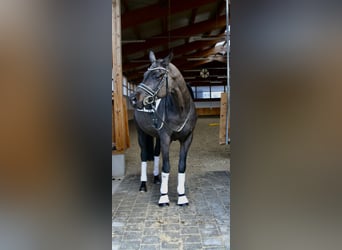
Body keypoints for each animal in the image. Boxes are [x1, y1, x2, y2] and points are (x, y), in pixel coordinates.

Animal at [130, 50, 196, 205]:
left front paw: (182, 196)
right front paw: (164, 197)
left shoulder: (187, 139)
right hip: (141, 133)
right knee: (143, 155)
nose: (134, 99)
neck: (180, 110)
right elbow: (166, 166)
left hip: (157, 136)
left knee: (155, 153)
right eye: (144, 75)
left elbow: (181, 166)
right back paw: (143, 185)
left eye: (158, 75)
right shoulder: (166, 138)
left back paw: (156, 178)